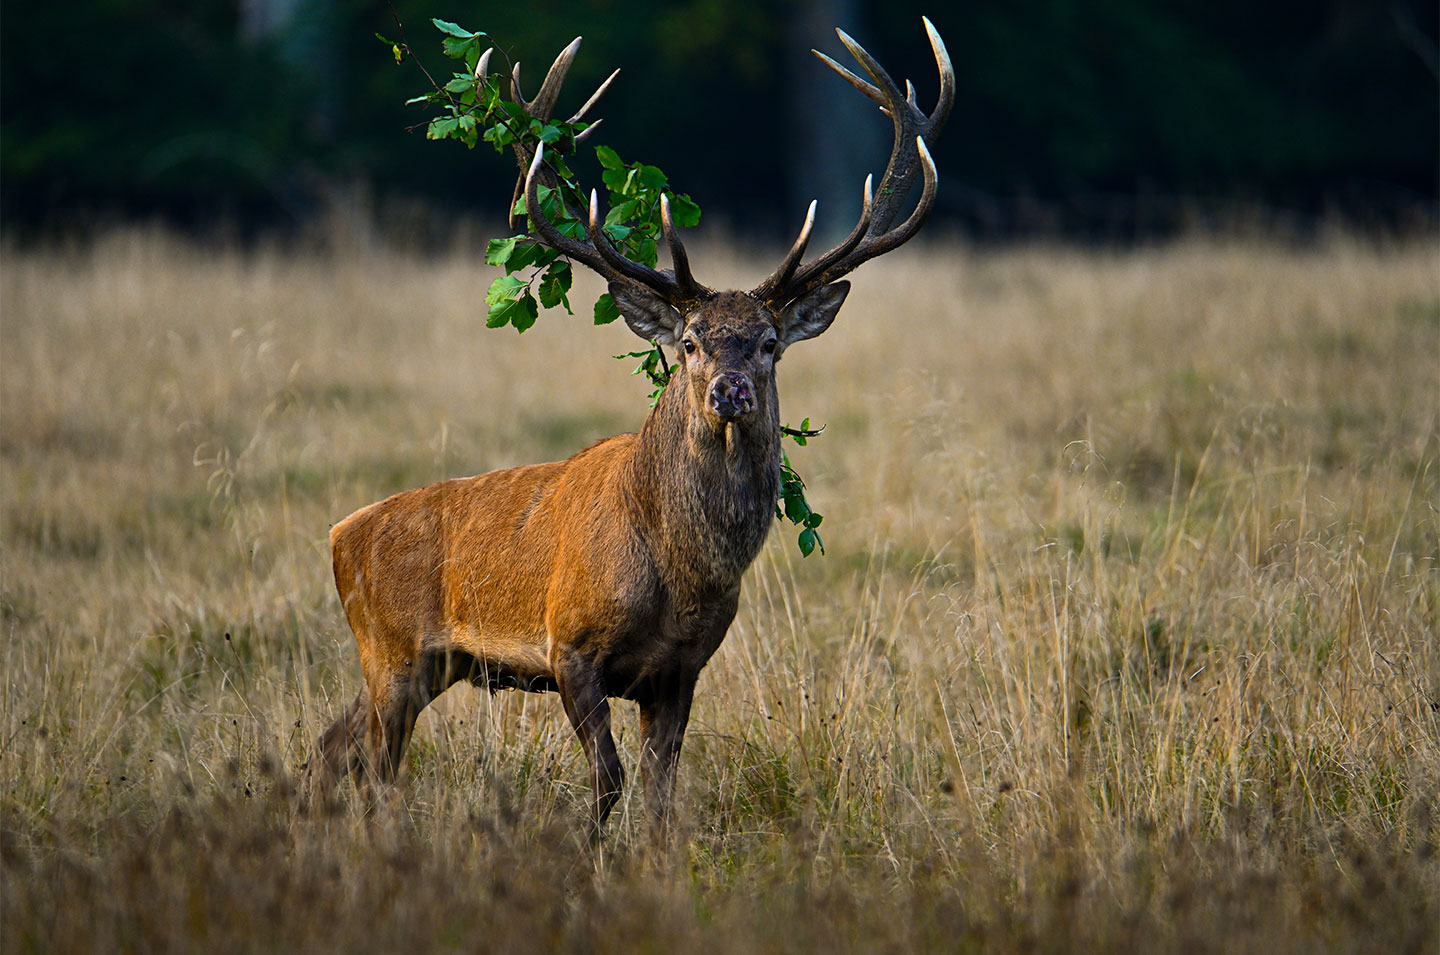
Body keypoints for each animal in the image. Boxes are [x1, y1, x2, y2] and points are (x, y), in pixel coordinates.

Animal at [304, 19, 953, 842]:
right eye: (691, 341)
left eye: (769, 342)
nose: (731, 391)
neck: (679, 578)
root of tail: (338, 535)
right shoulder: (569, 645)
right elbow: (609, 778)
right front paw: (582, 852)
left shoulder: (681, 669)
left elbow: (660, 793)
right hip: (389, 649)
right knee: (375, 769)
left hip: (419, 664)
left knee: (332, 747)